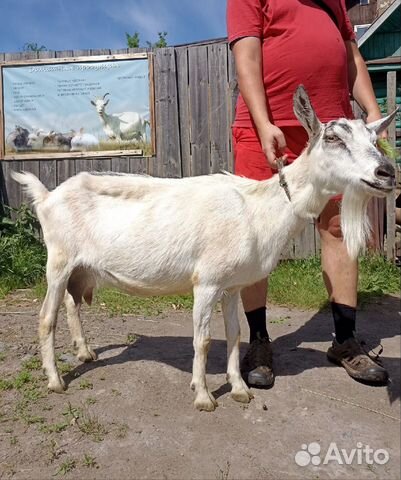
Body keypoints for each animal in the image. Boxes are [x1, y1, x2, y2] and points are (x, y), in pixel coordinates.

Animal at [13, 87, 396, 412]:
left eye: (374, 139)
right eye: (332, 138)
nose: (386, 172)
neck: (259, 209)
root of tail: (47, 196)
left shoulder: (232, 286)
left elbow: (234, 334)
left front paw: (239, 389)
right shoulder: (207, 282)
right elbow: (203, 340)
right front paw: (203, 396)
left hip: (80, 268)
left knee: (72, 304)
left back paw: (85, 353)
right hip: (59, 260)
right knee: (46, 317)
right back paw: (56, 380)